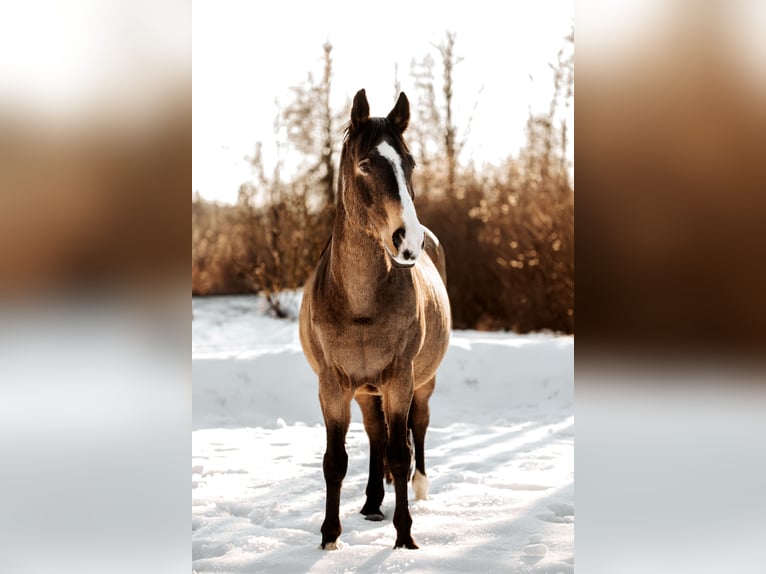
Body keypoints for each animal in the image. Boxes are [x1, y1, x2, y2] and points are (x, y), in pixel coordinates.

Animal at [299, 89, 451, 550]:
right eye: (366, 164)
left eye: (410, 163)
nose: (408, 240)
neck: (360, 302)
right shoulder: (332, 385)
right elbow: (336, 460)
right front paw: (330, 537)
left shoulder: (400, 378)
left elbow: (400, 453)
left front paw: (405, 538)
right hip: (367, 390)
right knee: (374, 432)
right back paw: (370, 502)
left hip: (420, 381)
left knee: (416, 426)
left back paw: (418, 486)